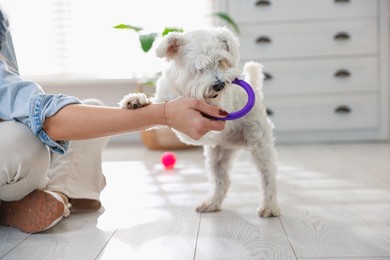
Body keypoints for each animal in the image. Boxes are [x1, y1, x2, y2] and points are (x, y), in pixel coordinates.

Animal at [119, 26, 280, 217]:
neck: (185, 92)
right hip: (217, 156)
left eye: (220, 61)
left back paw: (269, 206)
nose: (219, 85)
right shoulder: (165, 102)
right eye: (199, 67)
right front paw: (136, 100)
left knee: (267, 176)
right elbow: (157, 106)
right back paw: (211, 203)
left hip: (259, 144)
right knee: (222, 181)